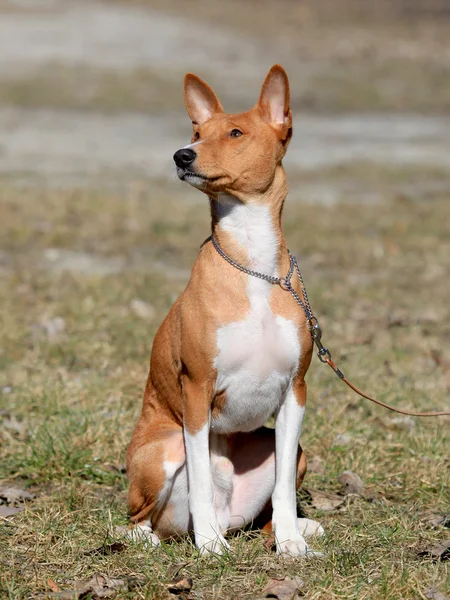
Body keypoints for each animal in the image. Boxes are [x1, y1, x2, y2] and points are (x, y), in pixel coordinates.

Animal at [126, 63, 324, 556]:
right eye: (196, 133)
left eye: (235, 133)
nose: (182, 155)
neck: (254, 265)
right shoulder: (197, 391)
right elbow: (199, 476)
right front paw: (211, 548)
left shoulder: (295, 391)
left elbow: (284, 490)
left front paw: (291, 543)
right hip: (163, 450)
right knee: (139, 517)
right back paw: (176, 537)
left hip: (289, 453)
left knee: (261, 511)